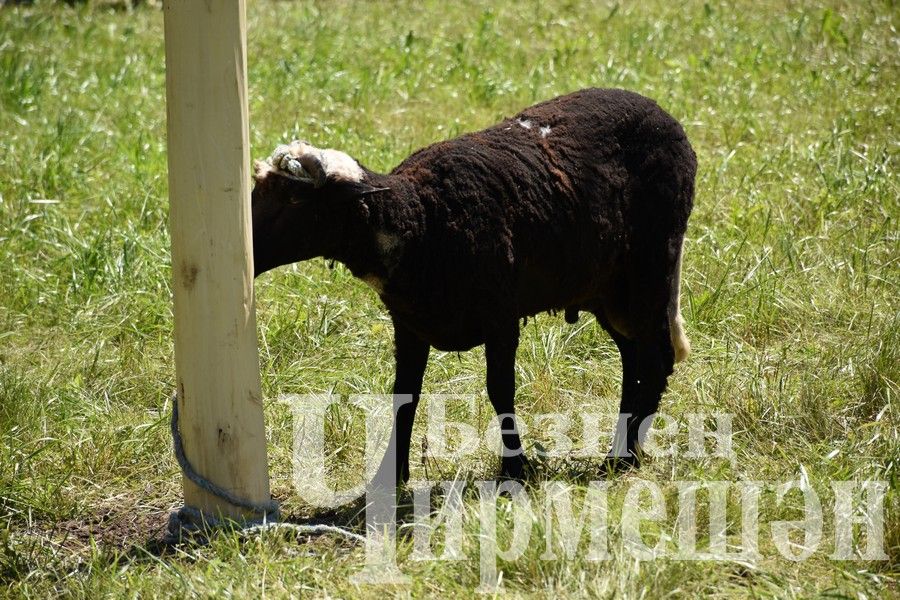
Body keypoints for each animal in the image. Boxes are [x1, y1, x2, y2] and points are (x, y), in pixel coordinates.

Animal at [253, 88, 696, 482]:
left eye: (294, 201)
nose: (245, 249)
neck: (419, 218)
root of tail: (662, 113)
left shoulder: (501, 317)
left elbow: (500, 390)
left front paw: (514, 471)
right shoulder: (409, 325)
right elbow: (404, 395)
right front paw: (390, 477)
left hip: (651, 269)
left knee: (655, 361)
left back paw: (621, 459)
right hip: (607, 291)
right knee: (634, 359)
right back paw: (622, 447)